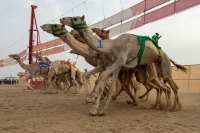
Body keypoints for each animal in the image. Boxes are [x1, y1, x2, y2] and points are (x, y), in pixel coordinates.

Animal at [59, 15, 188, 115]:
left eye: (75, 18)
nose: (62, 19)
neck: (110, 46)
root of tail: (167, 56)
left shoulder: (119, 61)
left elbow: (101, 78)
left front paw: (92, 103)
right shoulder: (116, 66)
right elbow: (107, 85)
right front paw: (99, 109)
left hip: (162, 65)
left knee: (169, 86)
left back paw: (171, 107)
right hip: (155, 67)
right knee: (163, 86)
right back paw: (163, 105)